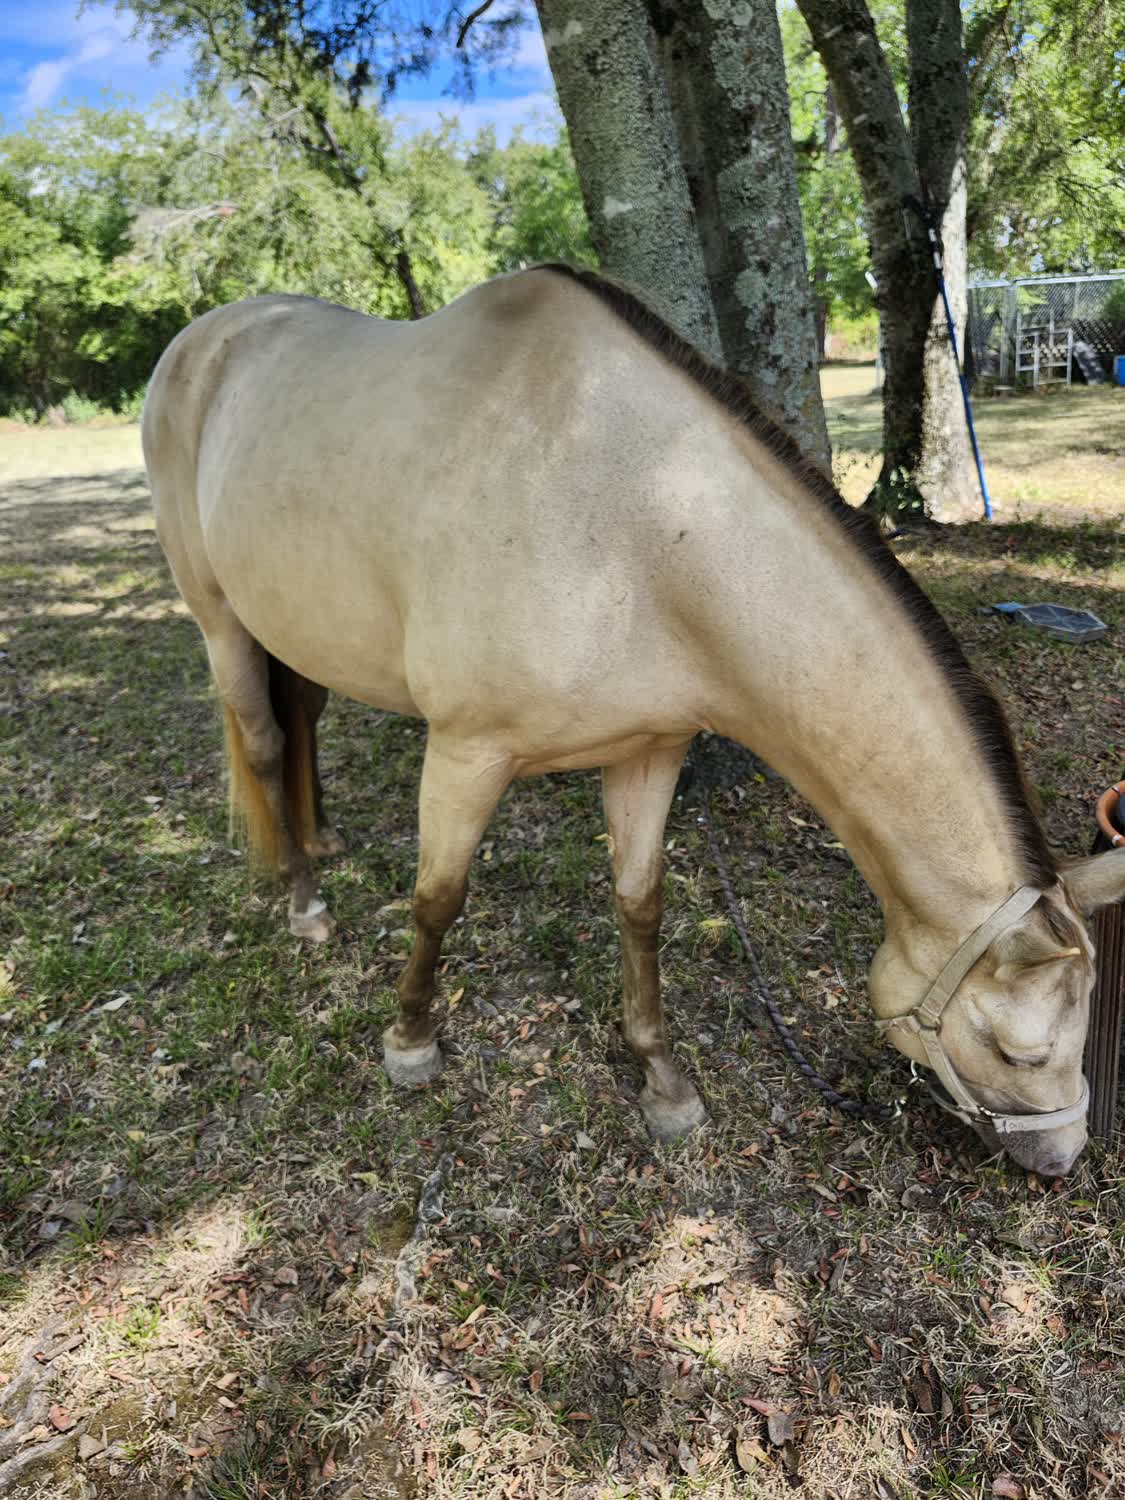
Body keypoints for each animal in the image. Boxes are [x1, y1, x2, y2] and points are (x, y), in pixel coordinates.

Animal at [143, 263, 1125, 1178]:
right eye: (1016, 1051)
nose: (1060, 1159)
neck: (632, 524)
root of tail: (203, 339)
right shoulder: (466, 752)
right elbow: (438, 899)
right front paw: (411, 1042)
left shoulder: (650, 752)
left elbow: (639, 906)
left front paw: (662, 1081)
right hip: (220, 621)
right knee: (266, 744)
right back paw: (305, 903)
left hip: (295, 629)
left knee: (303, 719)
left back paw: (323, 839)